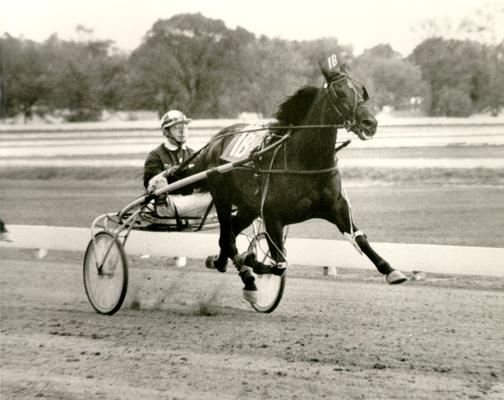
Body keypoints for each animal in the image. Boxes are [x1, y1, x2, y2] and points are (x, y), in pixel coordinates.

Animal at [188, 61, 406, 302]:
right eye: (340, 93)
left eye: (362, 91)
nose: (370, 123)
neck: (306, 161)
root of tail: (214, 140)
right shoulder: (273, 216)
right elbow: (279, 264)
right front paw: (252, 260)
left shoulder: (335, 207)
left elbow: (360, 238)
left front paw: (391, 270)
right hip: (223, 197)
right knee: (228, 237)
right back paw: (242, 271)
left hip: (248, 207)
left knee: (229, 236)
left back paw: (223, 264)